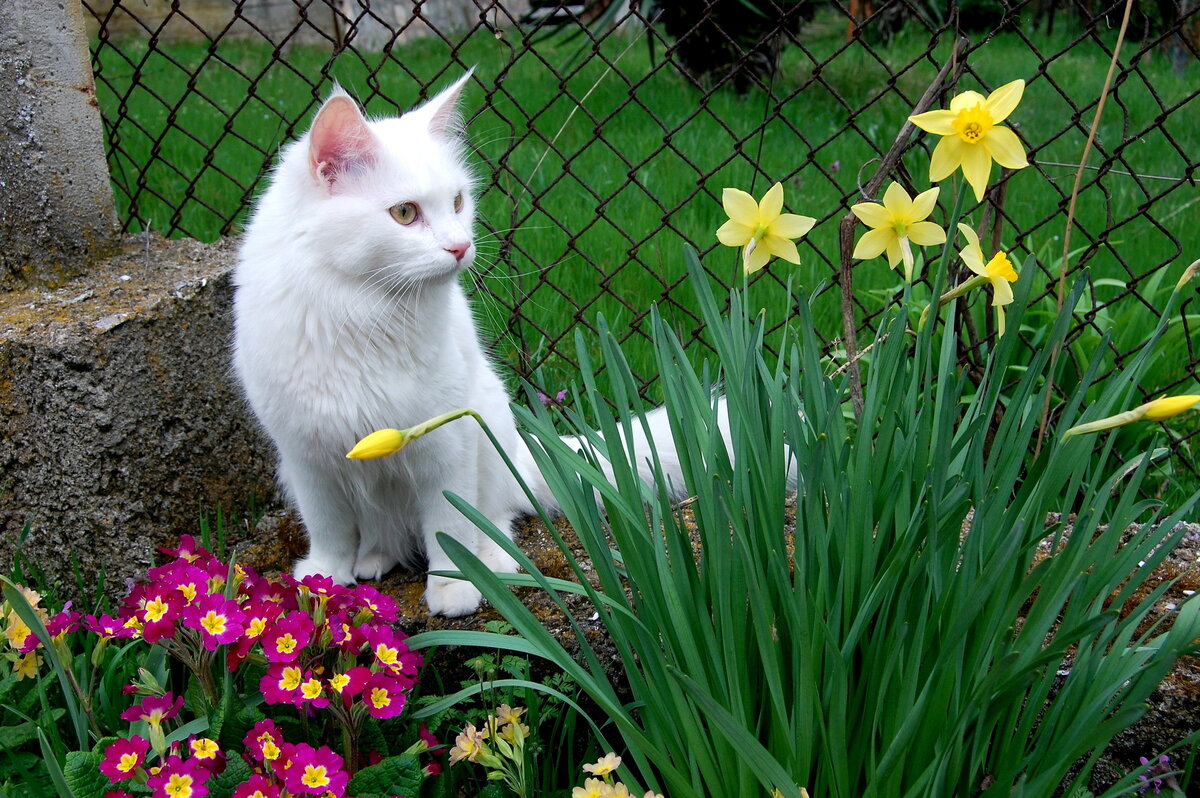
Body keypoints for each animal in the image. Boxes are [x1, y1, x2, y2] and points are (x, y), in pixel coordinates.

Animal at [231, 74, 696, 614]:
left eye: (457, 203)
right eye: (404, 213)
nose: (460, 247)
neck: (360, 311)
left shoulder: (444, 444)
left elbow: (447, 528)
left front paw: (454, 588)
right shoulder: (308, 460)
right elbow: (329, 533)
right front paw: (321, 582)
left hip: (488, 429)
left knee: (495, 518)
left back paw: (492, 562)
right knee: (382, 536)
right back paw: (372, 560)